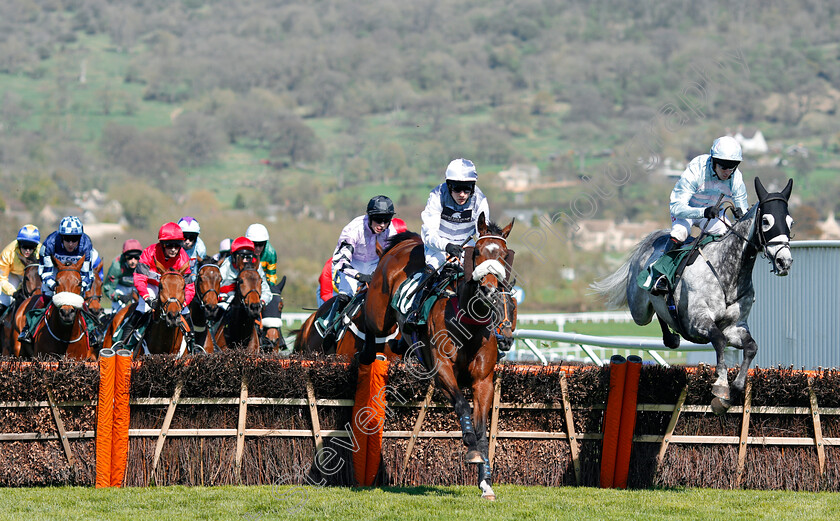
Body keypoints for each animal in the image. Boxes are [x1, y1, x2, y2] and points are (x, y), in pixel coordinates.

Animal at [364, 215, 516, 500]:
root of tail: (407, 243)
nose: (489, 290)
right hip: (377, 312)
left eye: (503, 255)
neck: (468, 321)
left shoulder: (483, 381)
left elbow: (481, 428)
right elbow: (463, 406)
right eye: (477, 252)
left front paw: (485, 483)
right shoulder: (442, 369)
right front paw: (470, 445)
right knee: (369, 328)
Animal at [592, 179, 796, 414]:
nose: (784, 261)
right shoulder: (697, 321)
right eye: (766, 220)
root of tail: (654, 239)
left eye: (791, 222)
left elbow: (751, 347)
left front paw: (734, 390)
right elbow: (718, 339)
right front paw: (720, 387)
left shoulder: (735, 327)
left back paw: (671, 337)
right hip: (639, 310)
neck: (729, 275)